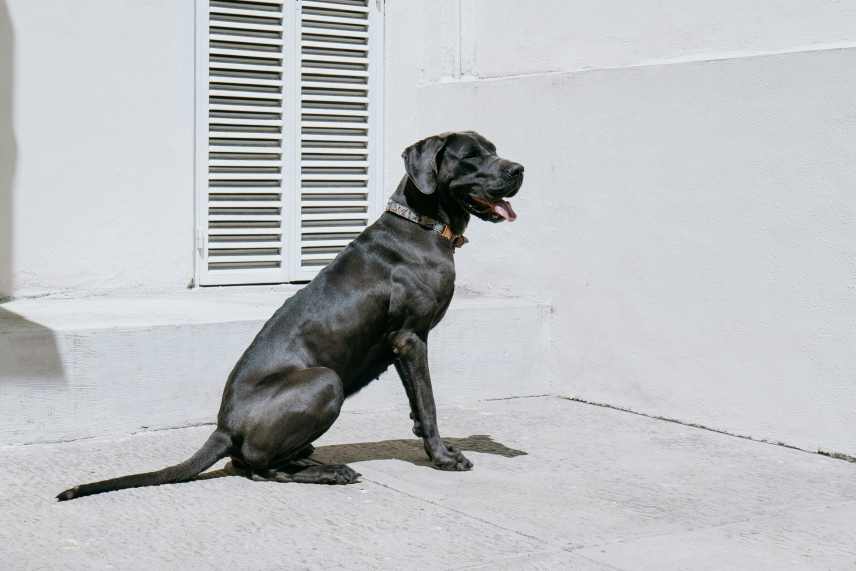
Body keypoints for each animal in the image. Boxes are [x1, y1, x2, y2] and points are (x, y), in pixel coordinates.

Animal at [58, 131, 520, 500]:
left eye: (495, 150)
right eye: (470, 156)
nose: (519, 168)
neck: (423, 224)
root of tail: (223, 427)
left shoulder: (405, 347)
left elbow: (417, 406)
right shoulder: (410, 338)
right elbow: (428, 403)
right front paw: (442, 457)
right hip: (324, 381)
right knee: (255, 466)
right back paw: (331, 473)